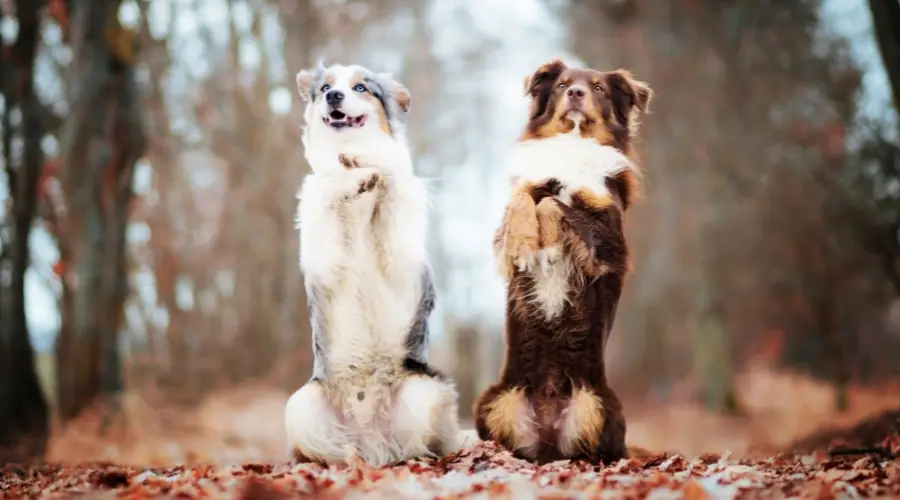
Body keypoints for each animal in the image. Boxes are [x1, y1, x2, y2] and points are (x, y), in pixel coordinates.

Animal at [284, 61, 464, 464]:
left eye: (361, 88)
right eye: (325, 88)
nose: (334, 97)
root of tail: (371, 437)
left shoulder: (401, 261)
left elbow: (390, 177)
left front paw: (370, 168)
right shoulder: (326, 259)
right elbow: (333, 187)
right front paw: (353, 175)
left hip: (424, 393)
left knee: (420, 446)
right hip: (301, 406)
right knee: (334, 451)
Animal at [472, 58, 652, 464]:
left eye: (598, 88)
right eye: (562, 84)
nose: (576, 93)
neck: (573, 143)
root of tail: (548, 443)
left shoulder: (609, 240)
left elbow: (556, 205)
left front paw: (551, 246)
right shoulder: (516, 206)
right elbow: (527, 201)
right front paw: (529, 245)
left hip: (597, 404)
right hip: (495, 399)